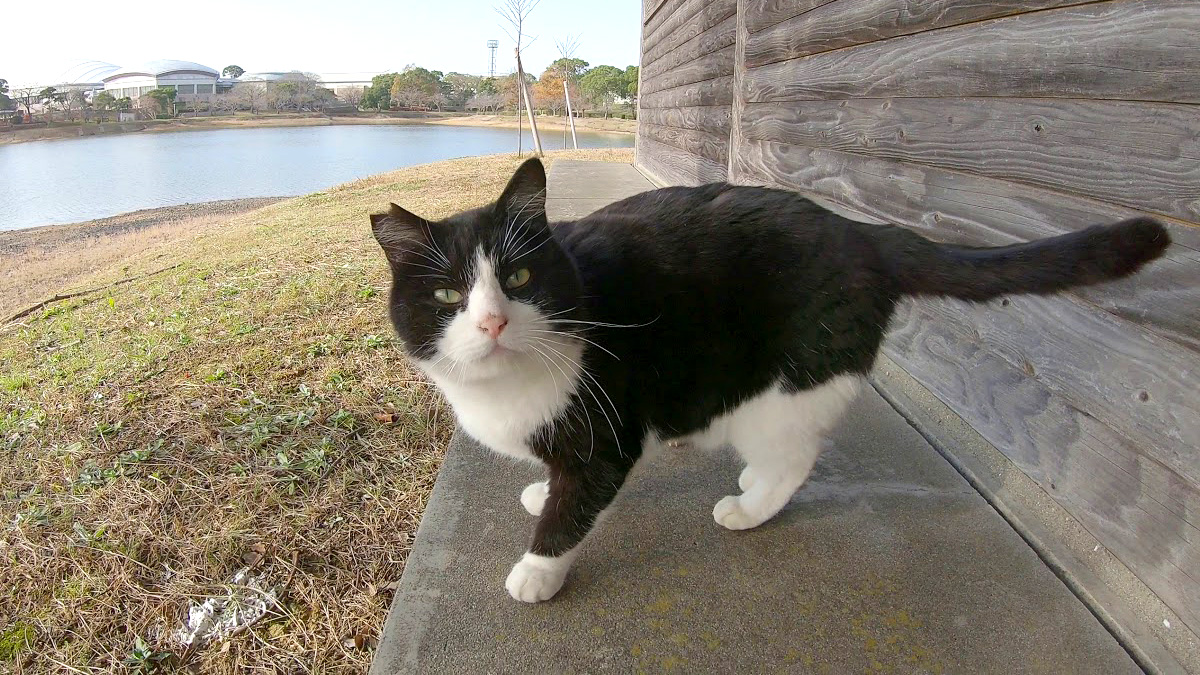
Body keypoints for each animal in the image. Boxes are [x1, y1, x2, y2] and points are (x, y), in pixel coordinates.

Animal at [367, 156, 1171, 598]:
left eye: (519, 277)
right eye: (448, 295)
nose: (493, 323)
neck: (508, 392)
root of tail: (863, 233)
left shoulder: (607, 430)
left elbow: (576, 502)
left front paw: (538, 569)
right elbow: (558, 481)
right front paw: (539, 486)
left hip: (786, 383)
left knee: (795, 453)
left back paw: (750, 505)